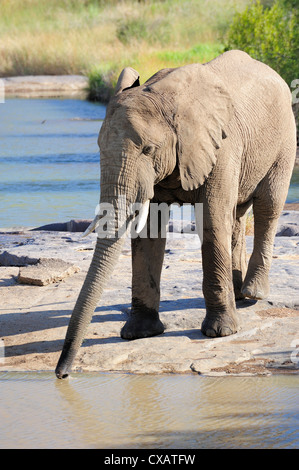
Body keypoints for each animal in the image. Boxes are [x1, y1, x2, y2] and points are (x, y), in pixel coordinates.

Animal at [55, 49, 296, 378]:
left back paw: (253, 294)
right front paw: (139, 333)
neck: (165, 99)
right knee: (236, 216)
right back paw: (238, 294)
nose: (62, 374)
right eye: (99, 149)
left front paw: (220, 333)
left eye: (148, 150)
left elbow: (211, 219)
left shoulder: (222, 147)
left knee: (267, 206)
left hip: (284, 138)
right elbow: (149, 230)